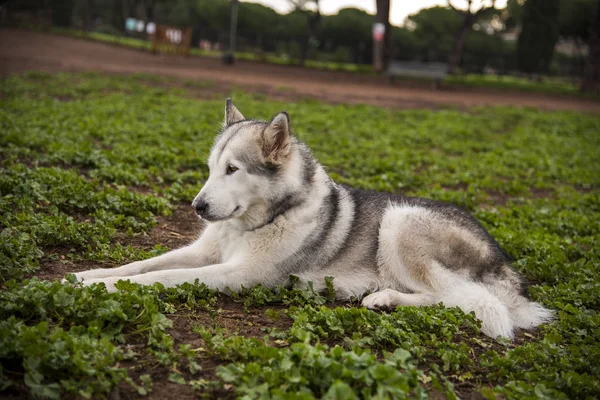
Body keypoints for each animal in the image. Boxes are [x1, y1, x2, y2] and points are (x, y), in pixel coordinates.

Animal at [74, 99, 552, 338]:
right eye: (210, 168)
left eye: (233, 169)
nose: (198, 207)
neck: (259, 219)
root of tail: (506, 263)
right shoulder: (202, 252)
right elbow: (142, 264)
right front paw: (87, 276)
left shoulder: (240, 274)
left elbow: (159, 278)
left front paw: (101, 287)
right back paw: (384, 297)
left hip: (400, 222)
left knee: (469, 301)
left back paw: (385, 298)